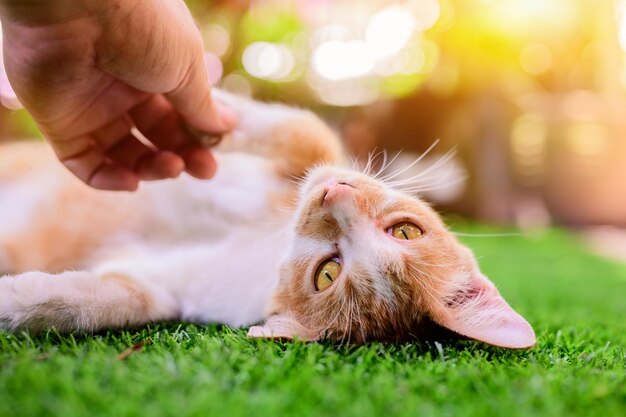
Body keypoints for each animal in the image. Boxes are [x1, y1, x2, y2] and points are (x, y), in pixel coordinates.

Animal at [0, 91, 532, 348]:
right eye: (406, 230)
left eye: (328, 272)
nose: (333, 193)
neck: (267, 247)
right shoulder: (304, 158)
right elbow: (306, 131)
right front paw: (216, 111)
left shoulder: (160, 289)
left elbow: (99, 301)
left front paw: (12, 299)